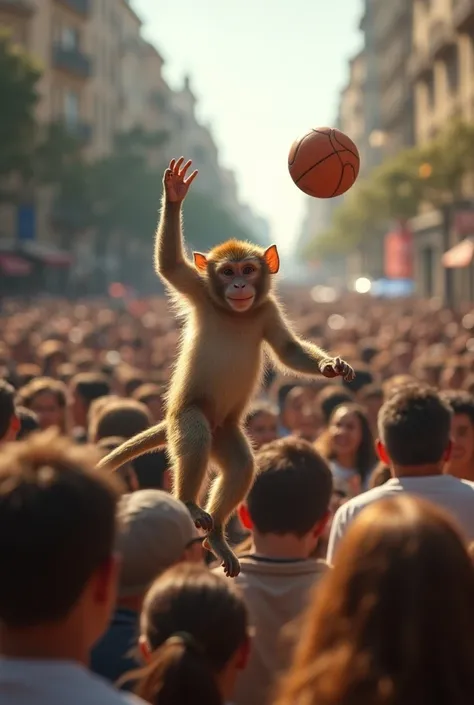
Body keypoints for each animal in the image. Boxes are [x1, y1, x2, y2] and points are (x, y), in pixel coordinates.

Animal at [98, 158, 354, 576]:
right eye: (226, 272)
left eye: (248, 270)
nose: (238, 287)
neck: (237, 314)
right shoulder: (199, 290)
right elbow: (170, 266)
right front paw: (174, 192)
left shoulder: (266, 310)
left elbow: (286, 349)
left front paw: (332, 366)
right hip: (187, 416)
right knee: (195, 436)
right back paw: (189, 504)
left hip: (228, 433)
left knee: (241, 467)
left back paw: (216, 534)